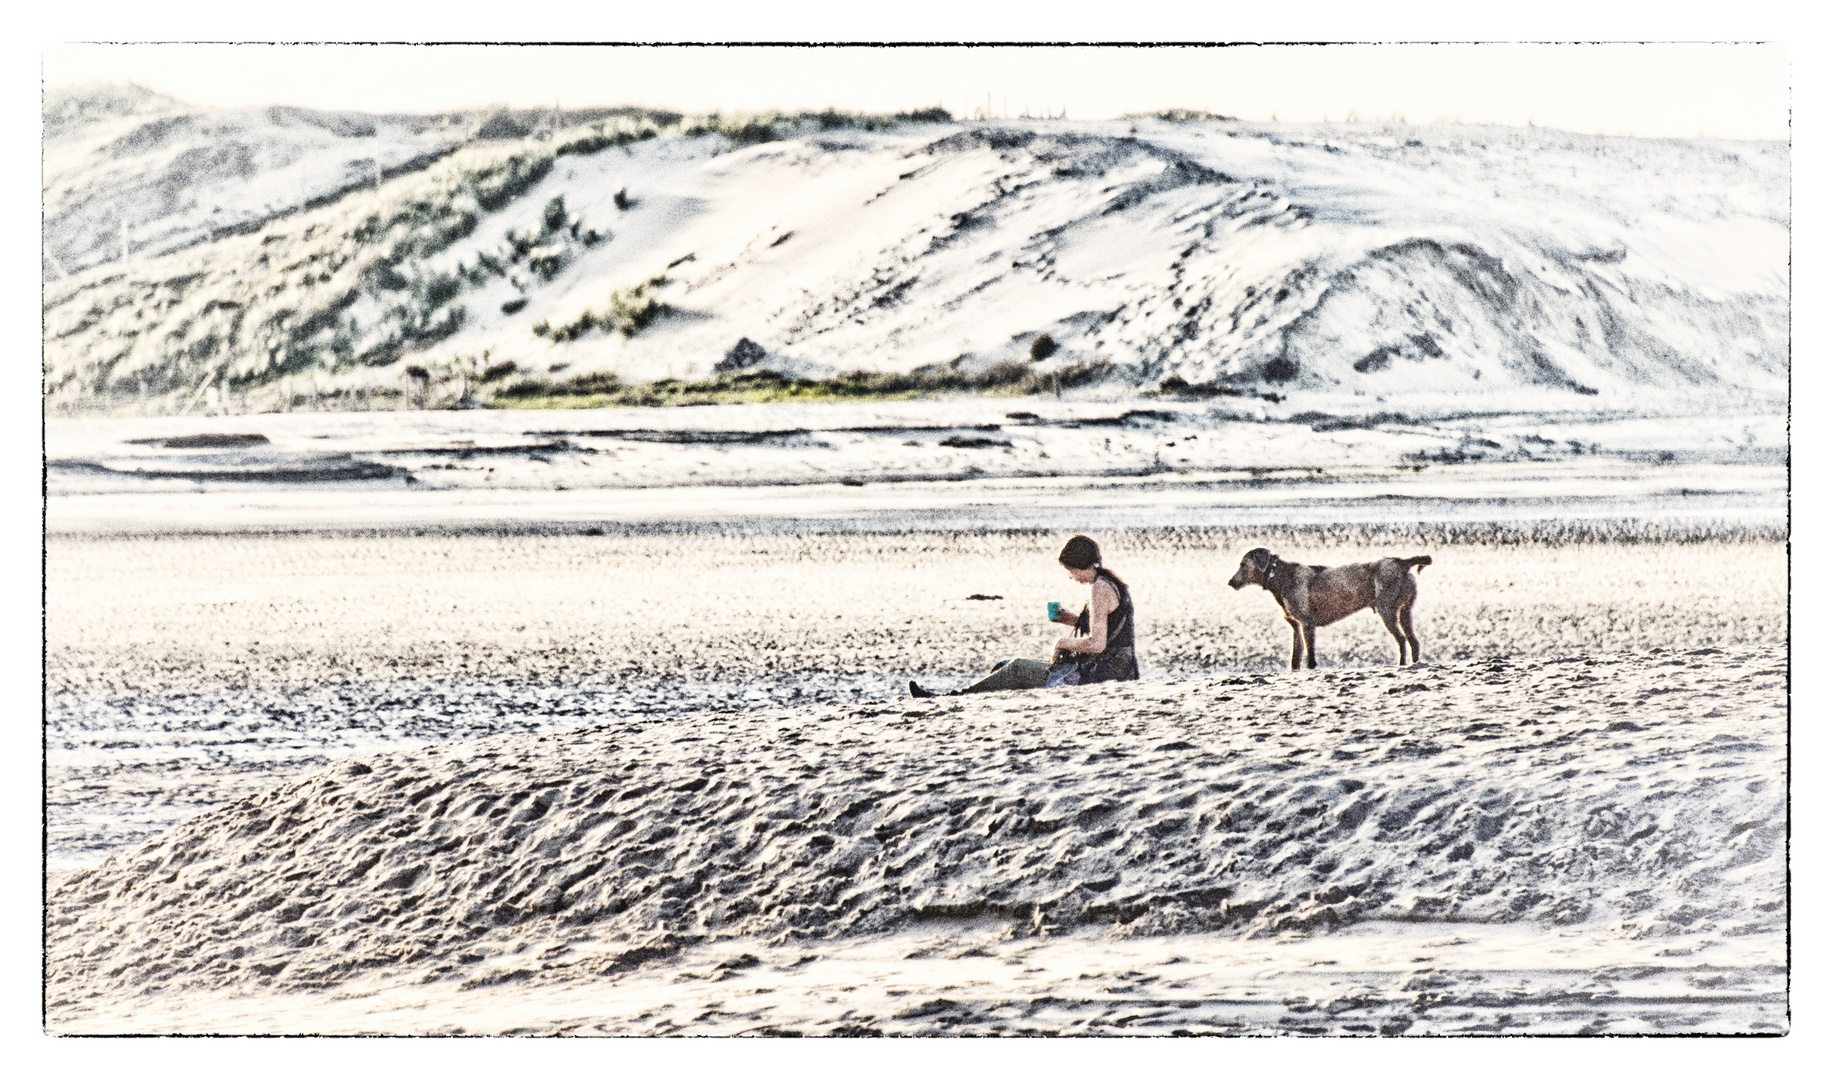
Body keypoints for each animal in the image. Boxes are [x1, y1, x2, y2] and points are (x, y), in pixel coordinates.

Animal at [1231, 546, 1429, 663]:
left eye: (1243, 564)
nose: (1230, 582)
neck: (1279, 576)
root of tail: (1401, 562)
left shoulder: (1307, 624)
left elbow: (1310, 657)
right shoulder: (1296, 626)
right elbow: (1295, 659)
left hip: (1387, 611)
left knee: (1402, 640)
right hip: (1405, 611)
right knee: (1414, 641)